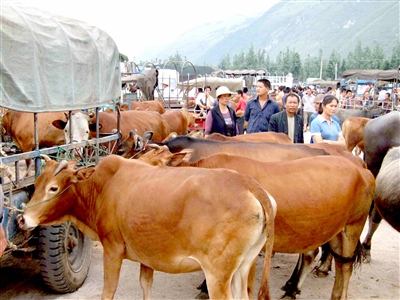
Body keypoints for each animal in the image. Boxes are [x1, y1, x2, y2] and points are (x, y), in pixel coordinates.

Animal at [18, 156, 276, 300]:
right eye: (36, 184)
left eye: (53, 188)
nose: (22, 219)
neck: (101, 188)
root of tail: (247, 183)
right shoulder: (147, 255)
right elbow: (146, 286)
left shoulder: (112, 250)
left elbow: (108, 292)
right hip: (243, 266)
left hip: (217, 275)